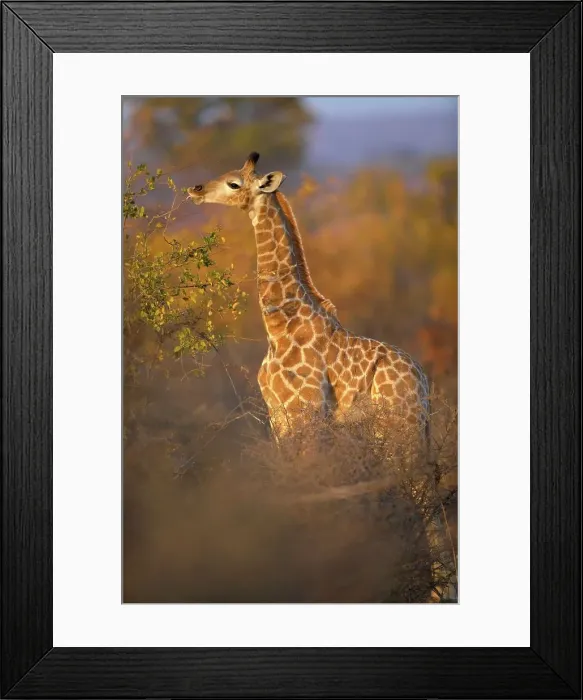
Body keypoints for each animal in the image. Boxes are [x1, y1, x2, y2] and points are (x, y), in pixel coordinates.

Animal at [188, 153, 456, 601]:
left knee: (422, 490)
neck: (279, 325)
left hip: (398, 427)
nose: (195, 189)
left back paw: (439, 589)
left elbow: (309, 480)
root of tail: (422, 381)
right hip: (405, 429)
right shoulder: (278, 416)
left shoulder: (306, 412)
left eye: (233, 183)